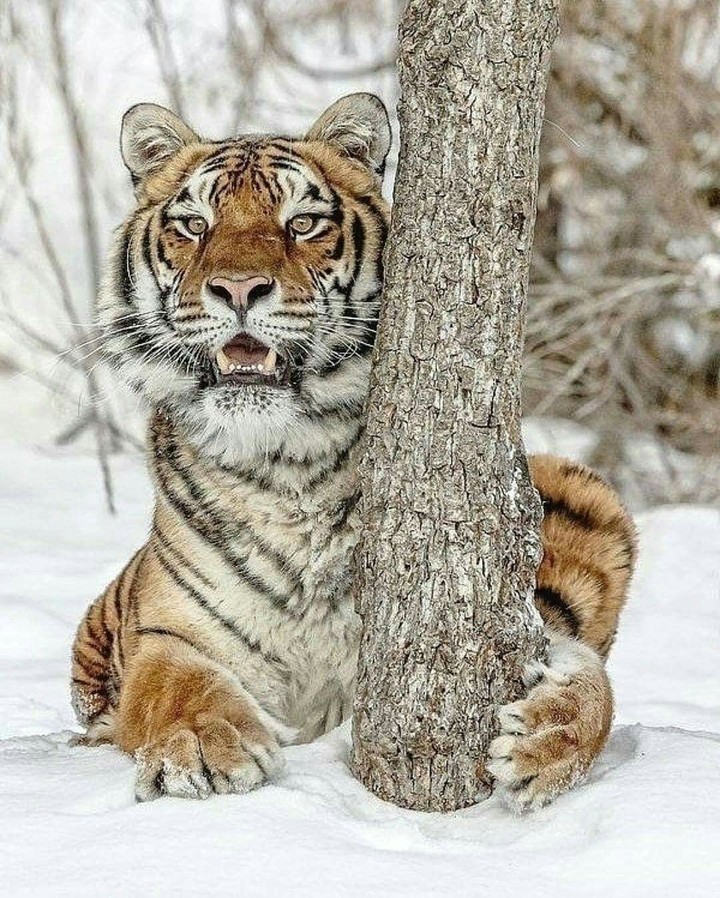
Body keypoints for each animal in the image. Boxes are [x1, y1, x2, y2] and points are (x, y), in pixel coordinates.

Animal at [71, 93, 636, 810]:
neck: (285, 463)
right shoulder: (166, 632)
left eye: (304, 223)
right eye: (195, 225)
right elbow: (177, 685)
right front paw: (205, 748)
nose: (238, 289)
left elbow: (592, 681)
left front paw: (548, 738)